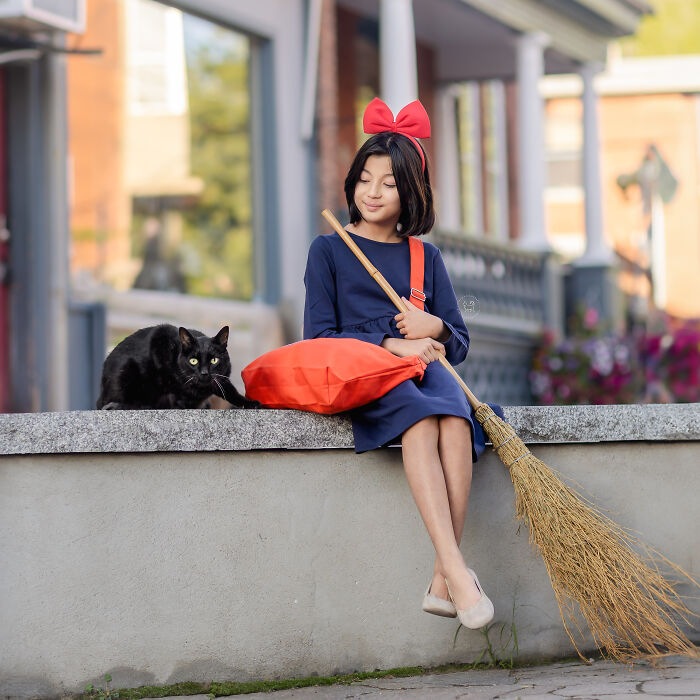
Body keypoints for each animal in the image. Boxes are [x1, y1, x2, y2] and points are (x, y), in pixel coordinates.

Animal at [96, 324, 262, 410]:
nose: (204, 373)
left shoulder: (222, 378)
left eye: (214, 360)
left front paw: (251, 403)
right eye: (193, 361)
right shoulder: (160, 340)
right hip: (125, 371)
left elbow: (231, 393)